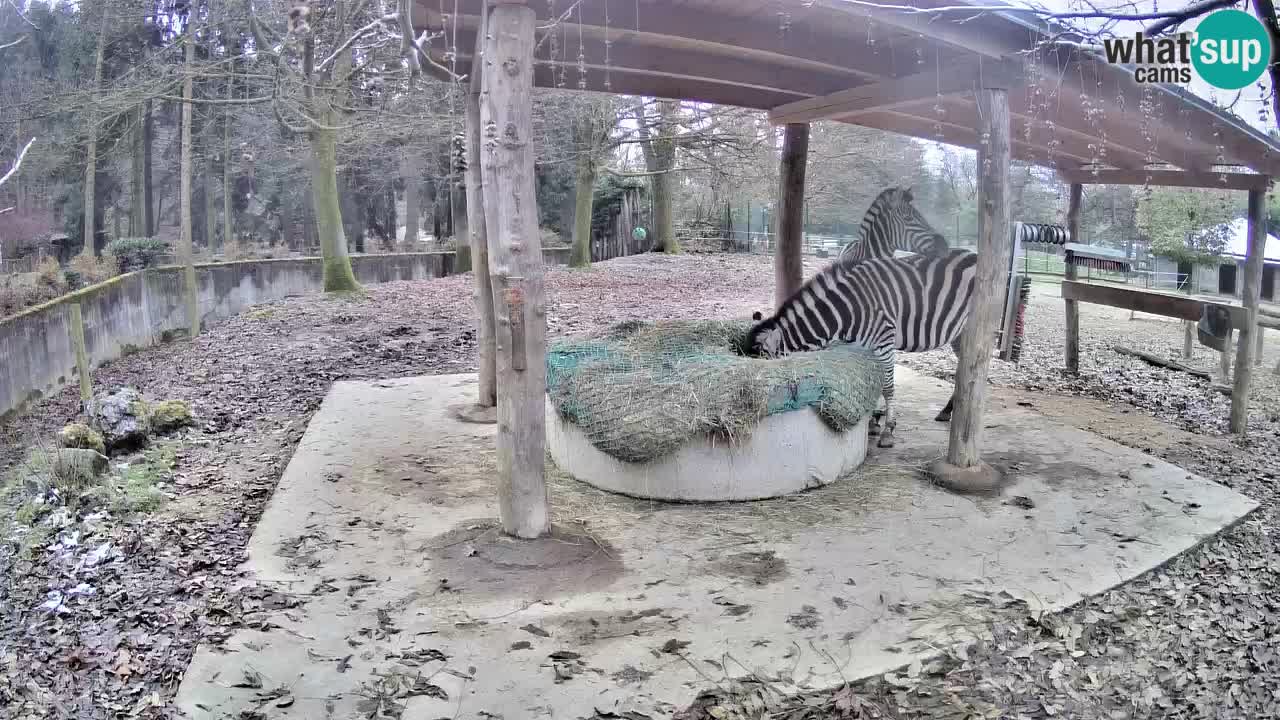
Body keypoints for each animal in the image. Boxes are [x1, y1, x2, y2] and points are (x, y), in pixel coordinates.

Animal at [747, 248, 972, 448]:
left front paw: (888, 430)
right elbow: (873, 383)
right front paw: (873, 421)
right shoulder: (866, 346)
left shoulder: (884, 340)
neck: (847, 310)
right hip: (960, 334)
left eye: (766, 371)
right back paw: (946, 410)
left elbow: (887, 387)